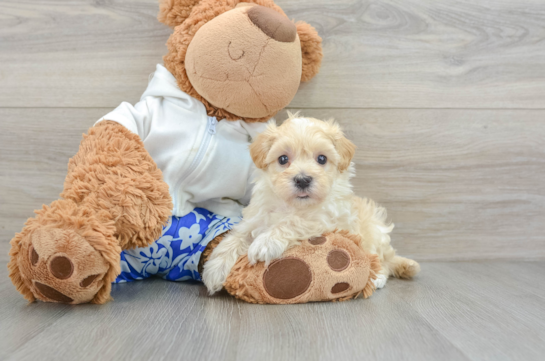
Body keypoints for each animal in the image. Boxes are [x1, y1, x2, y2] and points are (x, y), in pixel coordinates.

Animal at [202, 114, 418, 294]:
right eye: (283, 159)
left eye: (321, 158)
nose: (303, 180)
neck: (292, 205)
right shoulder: (255, 219)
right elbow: (235, 238)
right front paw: (215, 269)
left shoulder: (325, 220)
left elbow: (293, 222)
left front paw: (265, 243)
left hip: (374, 232)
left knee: (381, 260)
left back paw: (377, 277)